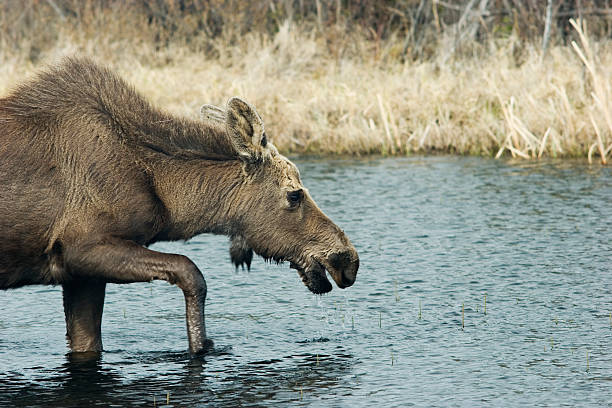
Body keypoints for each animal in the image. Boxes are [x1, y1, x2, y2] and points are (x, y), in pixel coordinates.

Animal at [1, 57, 358, 354]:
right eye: (294, 195)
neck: (166, 198)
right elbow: (191, 272)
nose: (348, 259)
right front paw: (201, 345)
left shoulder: (79, 273)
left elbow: (86, 343)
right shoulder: (82, 246)